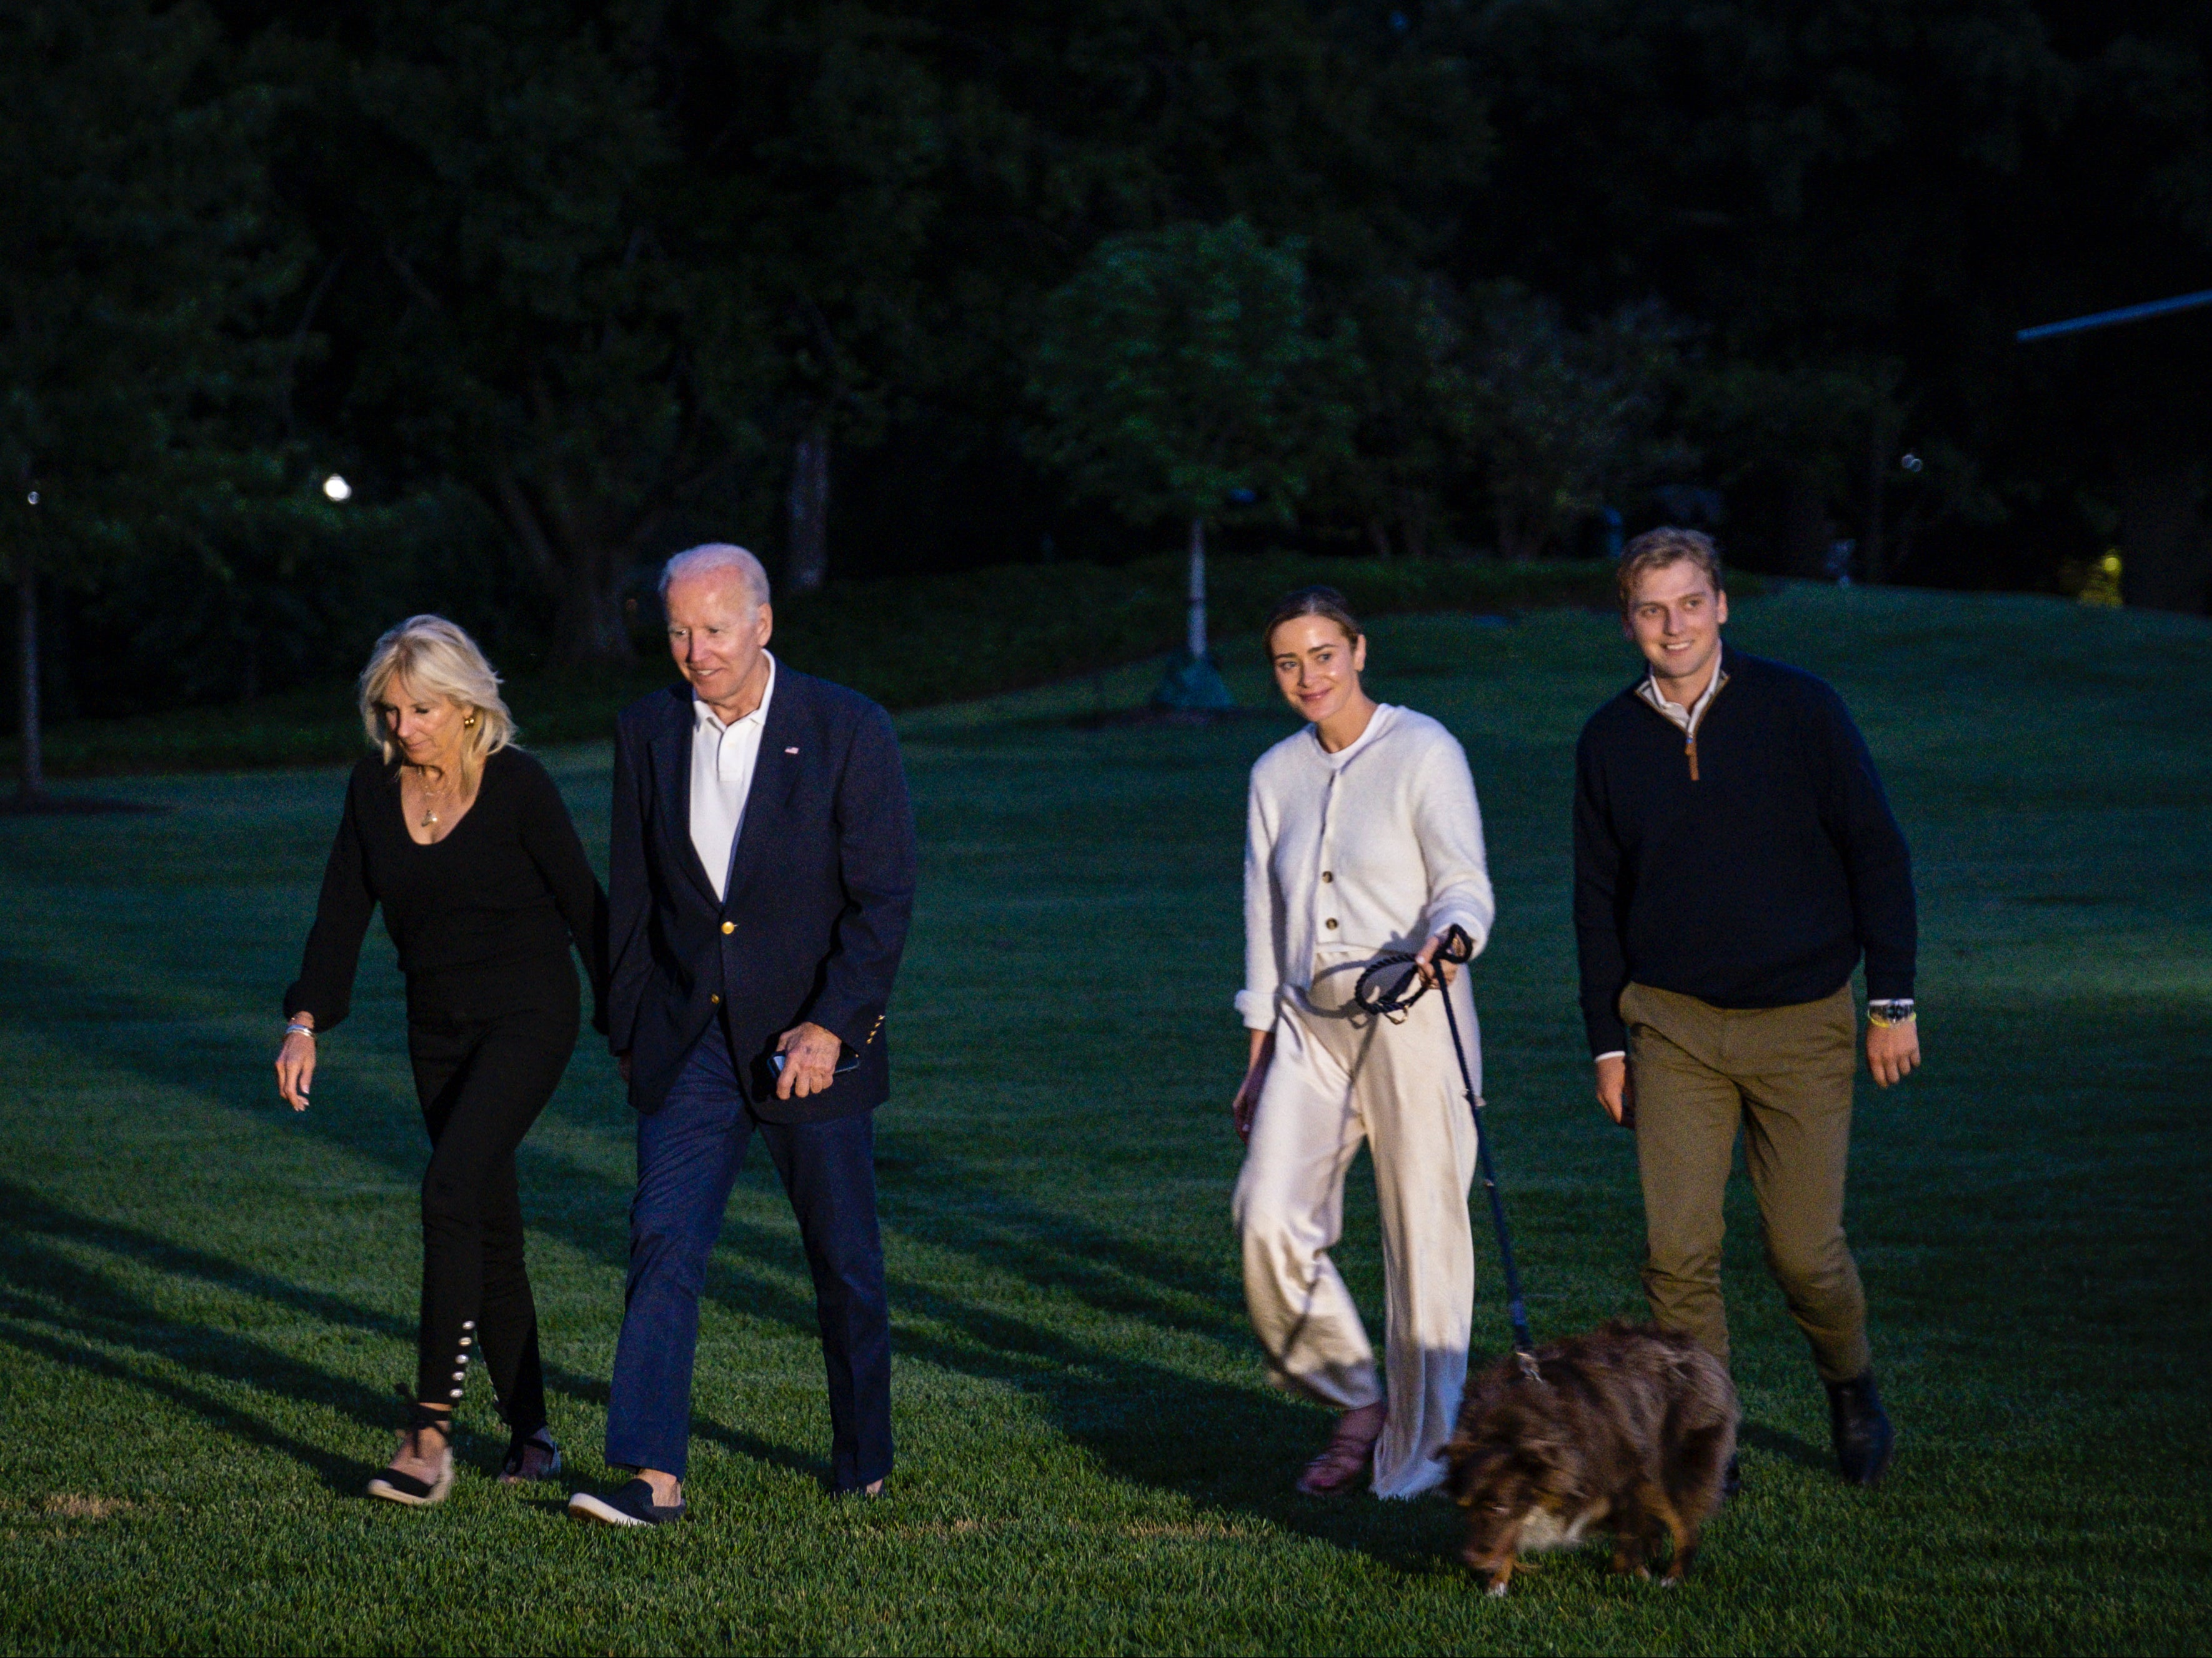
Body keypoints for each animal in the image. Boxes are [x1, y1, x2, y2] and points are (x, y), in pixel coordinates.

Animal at [1442, 1326, 1734, 1600]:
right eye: (1464, 1507)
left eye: (1498, 1506)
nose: (1470, 1561)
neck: (1510, 1429)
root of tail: (1691, 1345)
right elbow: (1509, 1535)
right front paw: (1498, 1585)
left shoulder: (1623, 1477)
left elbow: (1628, 1534)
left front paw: (1634, 1573)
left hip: (1663, 1469)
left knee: (1684, 1524)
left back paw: (1673, 1577)